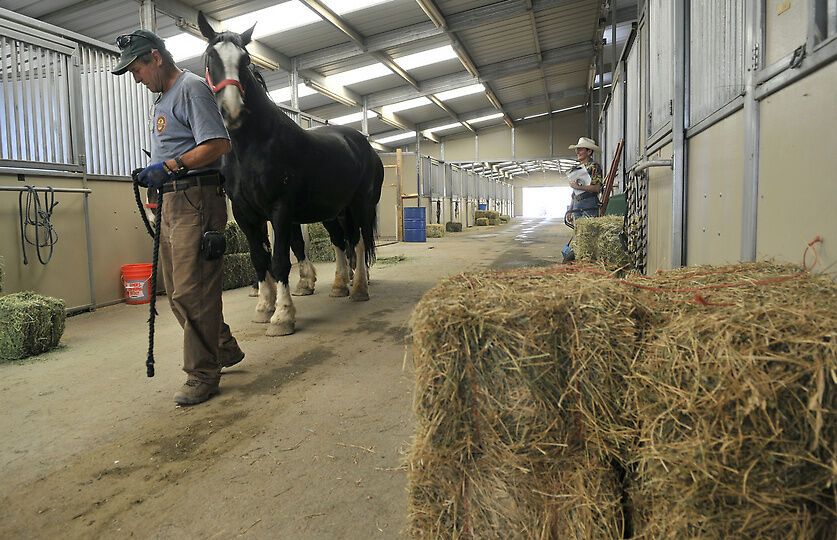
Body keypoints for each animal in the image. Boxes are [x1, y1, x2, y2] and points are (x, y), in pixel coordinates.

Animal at [201, 13, 384, 338]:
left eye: (245, 59)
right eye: (211, 58)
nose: (232, 111)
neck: (255, 146)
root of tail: (360, 142)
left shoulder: (281, 210)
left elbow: (280, 261)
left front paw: (283, 316)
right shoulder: (246, 214)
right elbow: (260, 259)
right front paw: (264, 307)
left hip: (359, 206)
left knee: (358, 242)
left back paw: (359, 289)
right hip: (332, 212)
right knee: (341, 242)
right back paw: (339, 285)